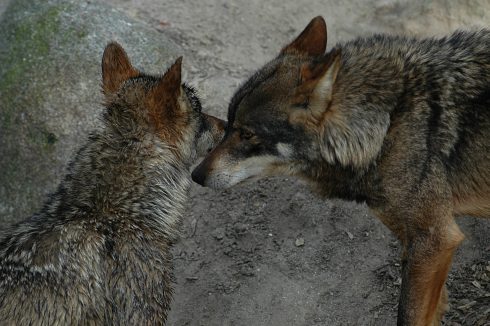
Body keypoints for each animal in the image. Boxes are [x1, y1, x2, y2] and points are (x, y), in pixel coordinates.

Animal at [191, 15, 490, 326]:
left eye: (247, 134)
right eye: (229, 124)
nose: (196, 175)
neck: (388, 125)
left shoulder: (436, 238)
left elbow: (408, 314)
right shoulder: (418, 241)